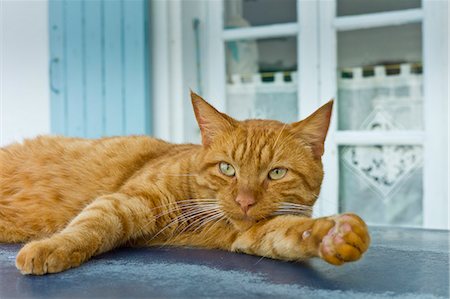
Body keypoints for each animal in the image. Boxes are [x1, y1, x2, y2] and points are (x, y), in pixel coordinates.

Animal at [0, 92, 370, 276]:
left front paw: (334, 234)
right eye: (227, 168)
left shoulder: (250, 233)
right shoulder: (124, 201)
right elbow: (87, 227)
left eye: (276, 173)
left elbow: (288, 234)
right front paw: (50, 248)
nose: (245, 201)